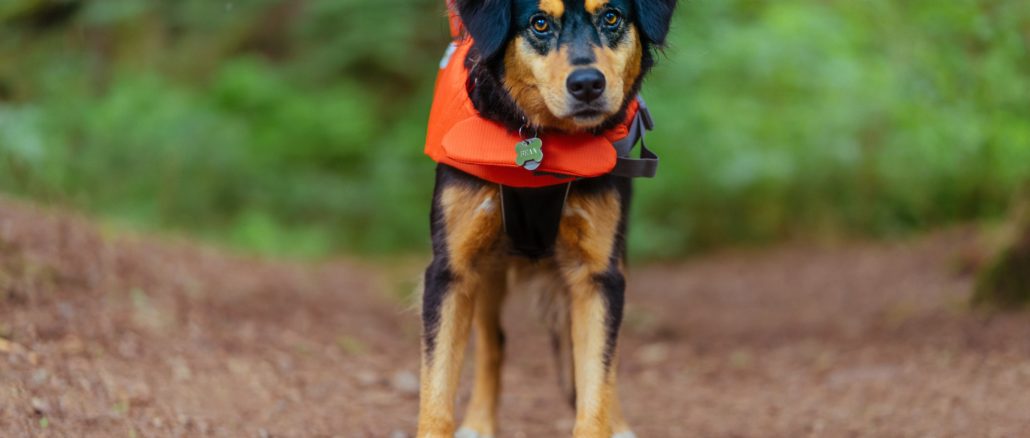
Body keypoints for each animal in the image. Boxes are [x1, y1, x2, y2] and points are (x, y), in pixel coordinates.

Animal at [418, 0, 675, 436]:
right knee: (493, 343)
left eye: (611, 17)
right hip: (488, 271)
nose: (587, 84)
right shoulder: (452, 271)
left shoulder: (597, 276)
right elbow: (436, 394)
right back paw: (479, 422)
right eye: (539, 23)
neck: (544, 142)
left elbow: (596, 387)